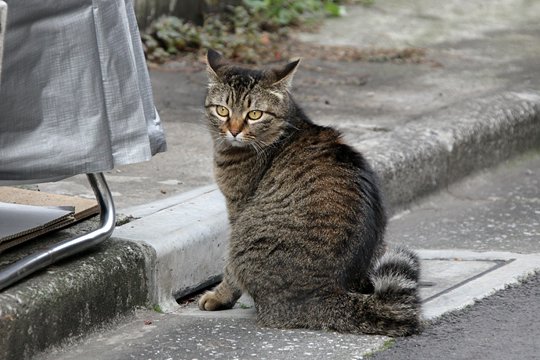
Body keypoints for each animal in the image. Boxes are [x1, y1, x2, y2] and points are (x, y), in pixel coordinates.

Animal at [198, 49, 422, 336]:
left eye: (255, 114)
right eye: (222, 110)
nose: (234, 131)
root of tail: (327, 291)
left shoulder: (237, 207)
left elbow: (228, 271)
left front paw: (219, 296)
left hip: (242, 235)